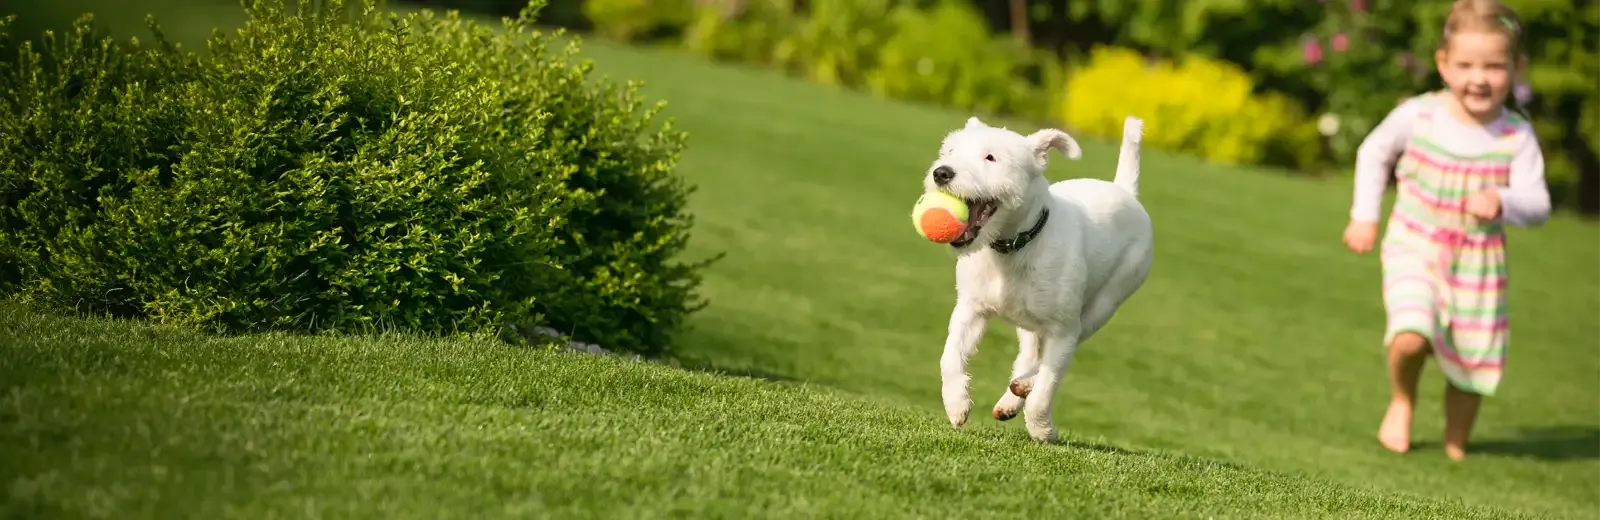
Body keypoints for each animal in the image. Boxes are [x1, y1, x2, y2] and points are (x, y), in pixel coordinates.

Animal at [928, 114, 1152, 441]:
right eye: (950, 151)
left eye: (991, 157)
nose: (941, 172)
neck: (1012, 247)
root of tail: (1124, 191)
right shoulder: (970, 310)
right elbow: (949, 357)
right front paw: (956, 403)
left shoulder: (1063, 331)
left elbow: (1047, 386)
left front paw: (1042, 429)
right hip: (1031, 320)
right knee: (1029, 354)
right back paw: (1011, 399)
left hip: (1106, 302)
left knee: (1059, 352)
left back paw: (1024, 386)